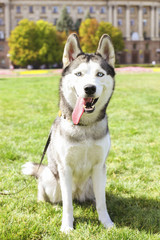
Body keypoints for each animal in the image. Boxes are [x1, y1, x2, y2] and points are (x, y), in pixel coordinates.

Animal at [22, 32, 115, 233]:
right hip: (51, 178)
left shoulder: (99, 167)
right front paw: (67, 225)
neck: (84, 126)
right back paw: (48, 203)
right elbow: (67, 205)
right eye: (78, 74)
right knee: (52, 195)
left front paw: (107, 223)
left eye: (100, 74)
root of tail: (78, 194)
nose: (89, 88)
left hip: (95, 181)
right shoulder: (65, 168)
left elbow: (102, 202)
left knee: (94, 197)